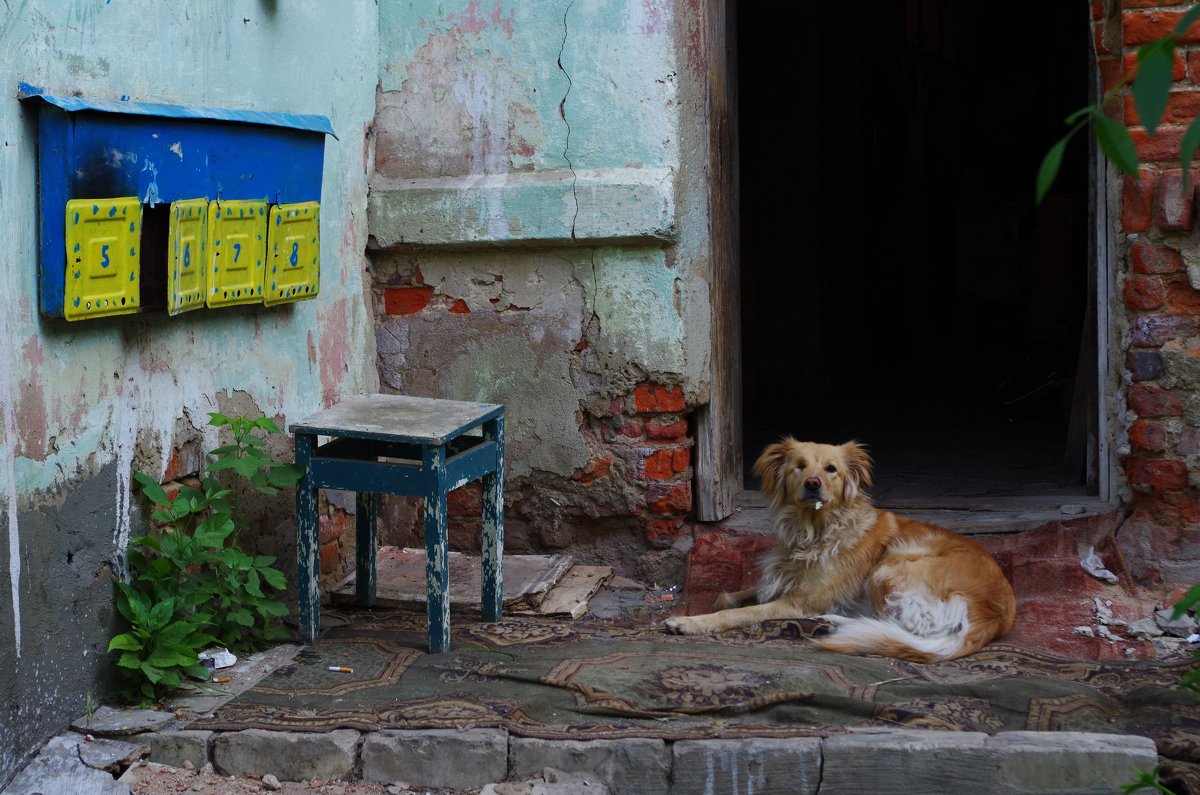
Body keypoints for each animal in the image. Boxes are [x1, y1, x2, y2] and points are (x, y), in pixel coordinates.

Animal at [662, 439, 1017, 662]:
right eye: (799, 466)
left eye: (831, 469)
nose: (813, 482)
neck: (813, 531)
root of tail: (991, 613)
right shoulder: (783, 583)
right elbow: (737, 595)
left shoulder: (796, 603)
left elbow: (735, 614)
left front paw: (690, 622)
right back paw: (831, 622)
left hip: (888, 569)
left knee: (897, 627)